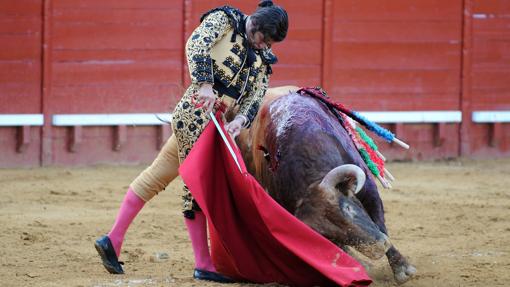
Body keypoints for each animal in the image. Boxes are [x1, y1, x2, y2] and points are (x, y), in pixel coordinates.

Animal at [237, 86, 416, 284]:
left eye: (348, 209)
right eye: (329, 235)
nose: (377, 248)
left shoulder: (369, 191)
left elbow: (380, 223)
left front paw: (402, 269)